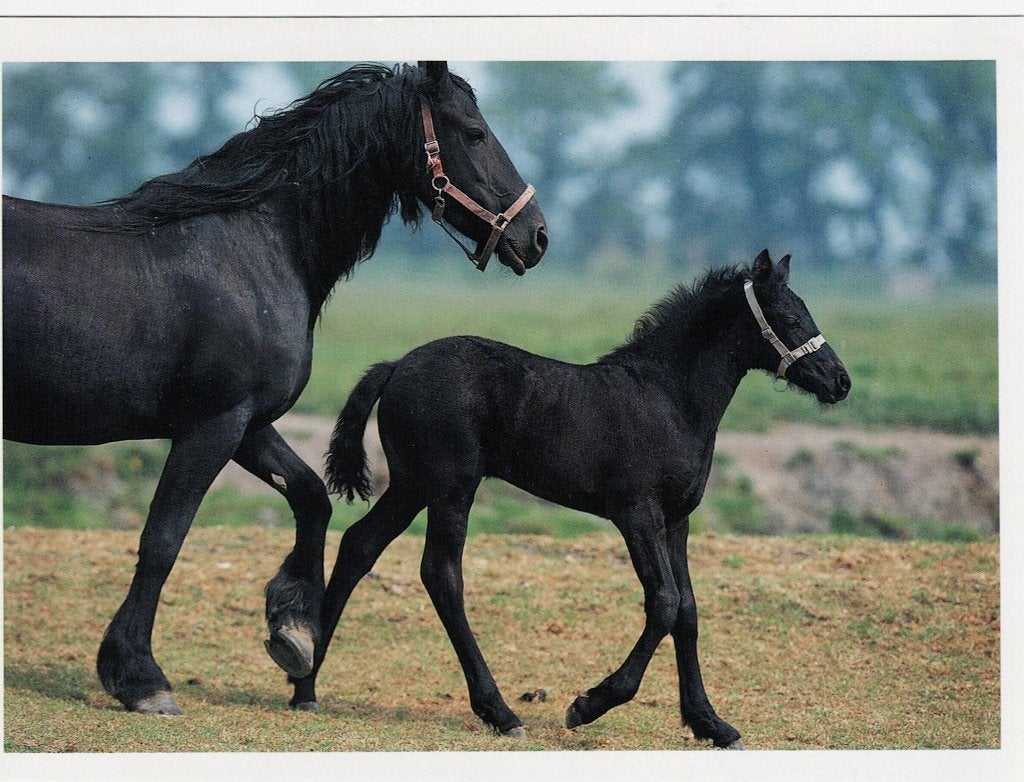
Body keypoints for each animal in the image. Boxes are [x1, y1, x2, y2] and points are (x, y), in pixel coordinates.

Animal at [2, 61, 547, 716]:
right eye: (473, 133)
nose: (537, 235)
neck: (259, 247)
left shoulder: (249, 424)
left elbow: (312, 497)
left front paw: (293, 633)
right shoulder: (214, 425)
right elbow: (163, 540)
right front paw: (139, 677)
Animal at [296, 249, 850, 748]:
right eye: (791, 318)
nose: (840, 381)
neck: (669, 399)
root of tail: (396, 366)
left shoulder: (677, 520)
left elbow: (688, 611)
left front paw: (711, 724)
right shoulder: (637, 514)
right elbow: (664, 602)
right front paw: (588, 705)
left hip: (413, 485)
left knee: (360, 545)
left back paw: (305, 683)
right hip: (452, 487)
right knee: (441, 573)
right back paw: (500, 712)